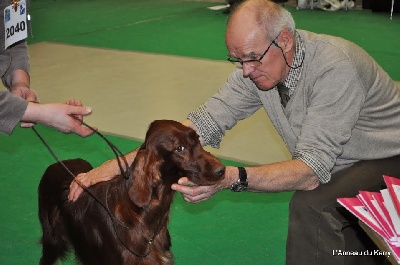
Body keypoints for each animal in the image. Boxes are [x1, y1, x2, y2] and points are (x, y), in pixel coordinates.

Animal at [37, 119, 225, 264]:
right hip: (51, 240)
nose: (222, 171)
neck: (146, 215)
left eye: (198, 140)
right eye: (180, 148)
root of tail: (54, 165)